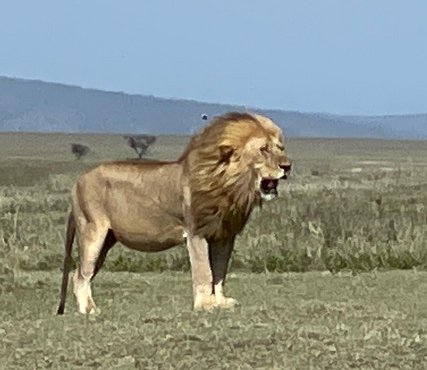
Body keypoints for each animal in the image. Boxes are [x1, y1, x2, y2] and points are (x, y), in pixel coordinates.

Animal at [56, 111, 290, 314]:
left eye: (281, 148)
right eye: (264, 149)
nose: (287, 166)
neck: (228, 186)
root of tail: (78, 181)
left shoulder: (224, 236)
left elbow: (220, 272)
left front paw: (221, 302)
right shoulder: (196, 233)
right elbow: (204, 271)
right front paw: (205, 305)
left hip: (107, 241)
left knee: (79, 273)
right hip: (92, 233)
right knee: (80, 275)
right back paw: (89, 310)